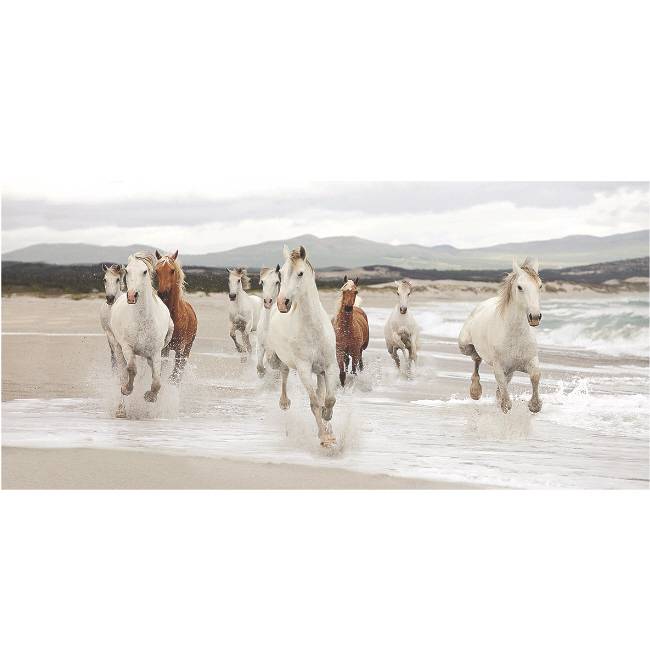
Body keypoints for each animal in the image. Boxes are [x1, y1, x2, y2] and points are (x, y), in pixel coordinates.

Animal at [109, 252, 174, 417]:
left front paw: (150, 397)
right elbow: (131, 370)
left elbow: (157, 381)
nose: (132, 296)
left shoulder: (156, 352)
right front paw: (127, 389)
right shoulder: (127, 348)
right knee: (122, 373)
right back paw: (121, 409)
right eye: (127, 271)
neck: (142, 319)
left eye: (145, 272)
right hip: (118, 348)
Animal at [154, 250, 198, 383]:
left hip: (188, 348)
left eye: (172, 270)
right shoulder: (164, 349)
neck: (174, 316)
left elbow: (175, 374)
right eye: (156, 270)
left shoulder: (180, 349)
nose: (162, 293)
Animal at [266, 245, 338, 448]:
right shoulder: (304, 369)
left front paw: (328, 420)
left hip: (320, 372)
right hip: (279, 358)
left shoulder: (330, 367)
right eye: (281, 274)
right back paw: (284, 402)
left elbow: (329, 399)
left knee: (322, 393)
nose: (282, 303)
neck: (314, 328)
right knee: (283, 372)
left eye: (300, 273)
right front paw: (324, 438)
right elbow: (314, 403)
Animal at [458, 257, 543, 414]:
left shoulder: (530, 360)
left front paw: (534, 405)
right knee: (476, 358)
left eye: (540, 286)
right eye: (520, 287)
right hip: (464, 346)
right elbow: (502, 385)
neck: (514, 334)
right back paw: (475, 391)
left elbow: (535, 376)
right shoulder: (498, 365)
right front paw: (505, 404)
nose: (535, 317)